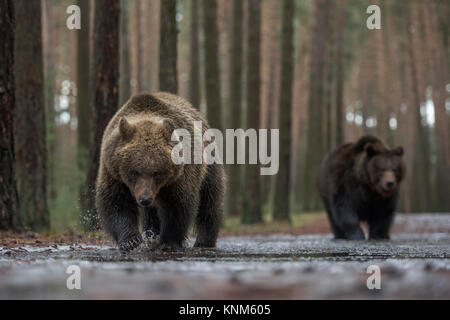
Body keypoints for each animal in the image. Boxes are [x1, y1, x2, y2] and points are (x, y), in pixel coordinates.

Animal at [97, 92, 225, 250]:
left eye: (157, 172)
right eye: (134, 171)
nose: (145, 199)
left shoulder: (180, 175)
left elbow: (177, 204)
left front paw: (168, 242)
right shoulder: (113, 172)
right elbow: (116, 202)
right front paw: (130, 241)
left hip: (208, 166)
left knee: (210, 202)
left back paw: (204, 241)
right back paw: (152, 234)